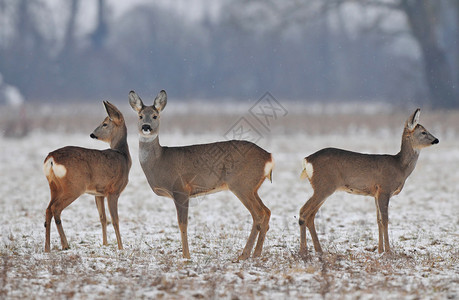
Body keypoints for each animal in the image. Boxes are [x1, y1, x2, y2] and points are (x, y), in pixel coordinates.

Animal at [42, 102, 131, 252]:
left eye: (105, 124)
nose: (92, 134)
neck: (124, 156)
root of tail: (51, 158)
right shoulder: (113, 190)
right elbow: (115, 220)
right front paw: (121, 247)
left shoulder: (99, 193)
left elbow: (103, 218)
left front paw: (105, 244)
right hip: (74, 186)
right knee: (56, 208)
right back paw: (65, 245)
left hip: (54, 186)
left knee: (48, 209)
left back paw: (47, 248)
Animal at [128, 89, 274, 260]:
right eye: (140, 116)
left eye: (155, 116)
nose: (146, 127)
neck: (159, 162)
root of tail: (269, 157)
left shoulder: (180, 189)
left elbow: (182, 224)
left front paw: (186, 256)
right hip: (252, 187)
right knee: (266, 211)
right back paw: (256, 254)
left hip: (242, 184)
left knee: (258, 214)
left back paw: (244, 255)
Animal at [300, 109, 440, 254]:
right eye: (423, 131)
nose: (436, 140)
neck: (400, 167)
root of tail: (307, 160)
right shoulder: (384, 189)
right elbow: (385, 220)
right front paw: (388, 251)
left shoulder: (375, 193)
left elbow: (378, 220)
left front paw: (380, 250)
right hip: (323, 186)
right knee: (303, 212)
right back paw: (303, 252)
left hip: (323, 188)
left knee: (310, 215)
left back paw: (318, 250)